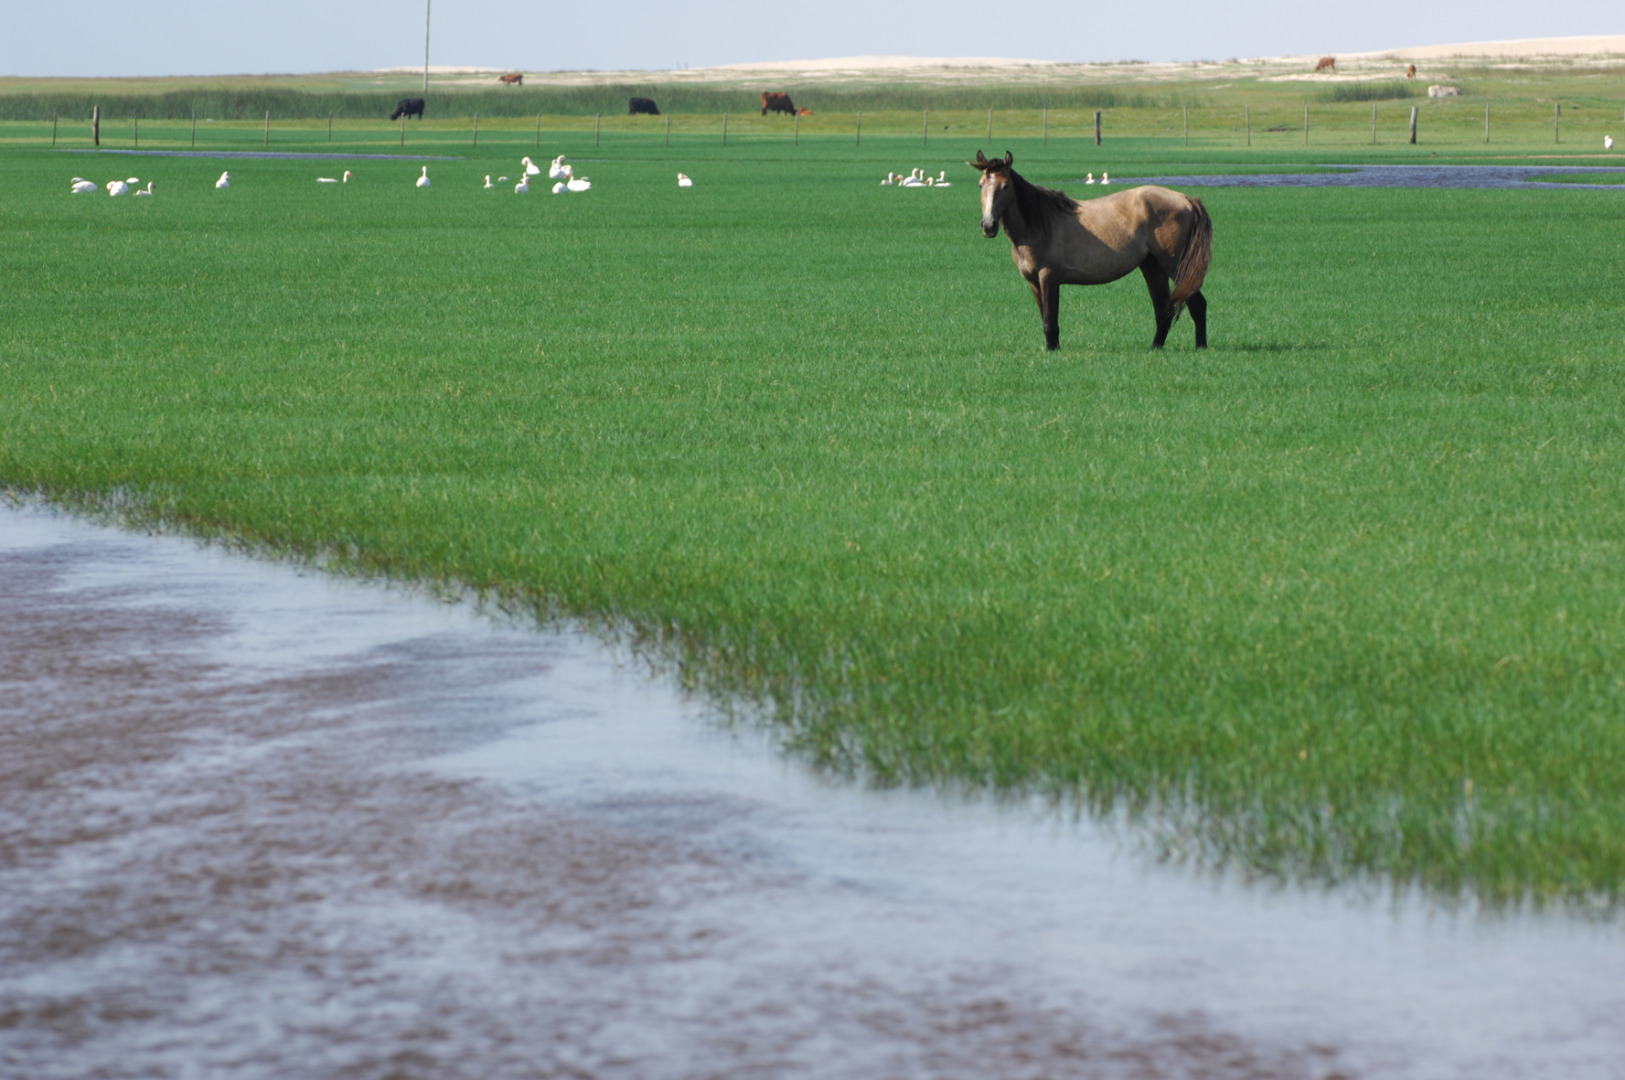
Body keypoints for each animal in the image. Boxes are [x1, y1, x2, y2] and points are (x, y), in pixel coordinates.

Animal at [962, 150, 1209, 349]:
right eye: (981, 185)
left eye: (1005, 186)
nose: (988, 226)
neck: (1038, 225)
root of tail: (1186, 199)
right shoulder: (1033, 281)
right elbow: (1045, 317)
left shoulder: (1049, 277)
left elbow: (1050, 322)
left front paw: (1052, 351)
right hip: (1152, 267)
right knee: (1163, 311)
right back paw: (1155, 348)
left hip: (1176, 265)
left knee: (1196, 304)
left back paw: (1200, 347)